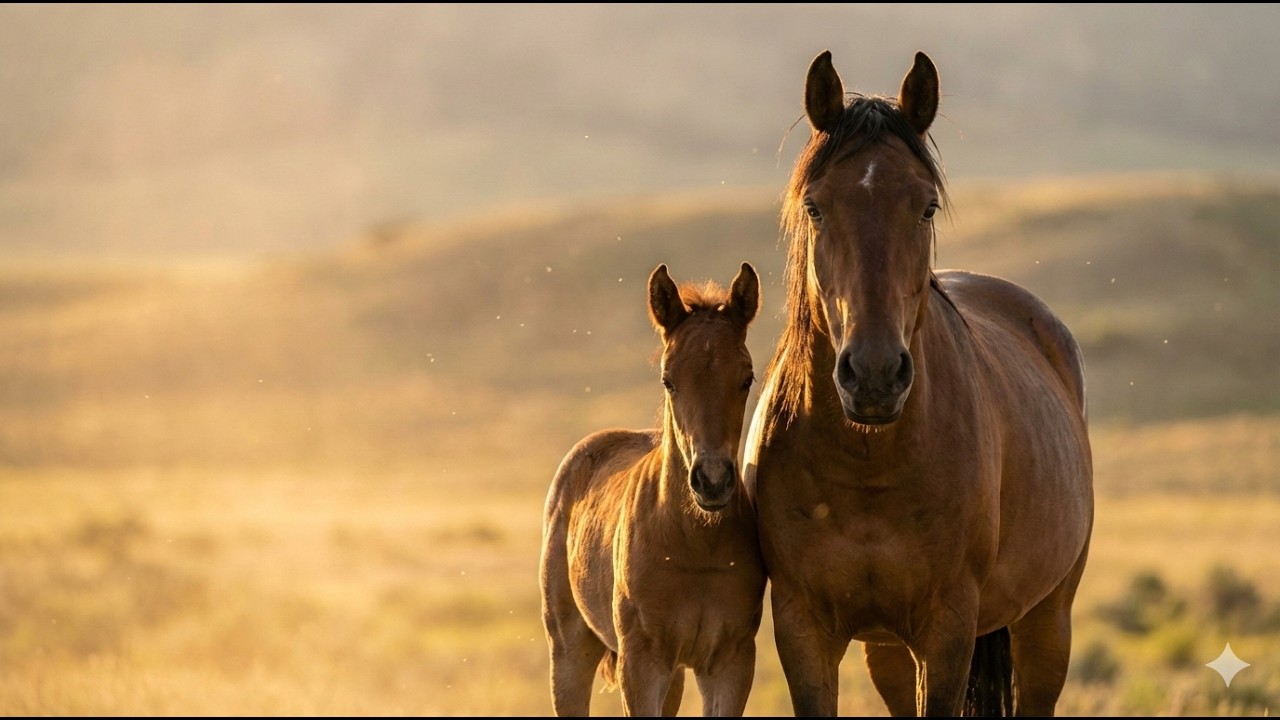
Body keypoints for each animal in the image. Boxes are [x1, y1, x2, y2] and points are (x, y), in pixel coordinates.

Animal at [540, 262, 768, 716]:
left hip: (676, 673)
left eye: (747, 378)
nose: (712, 480)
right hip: (570, 648)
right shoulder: (642, 663)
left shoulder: (730, 661)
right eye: (668, 380)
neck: (695, 545)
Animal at [743, 50, 1094, 716]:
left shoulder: (948, 628)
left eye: (926, 206)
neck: (868, 466)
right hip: (886, 650)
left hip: (1048, 621)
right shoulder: (802, 627)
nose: (875, 374)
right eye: (815, 207)